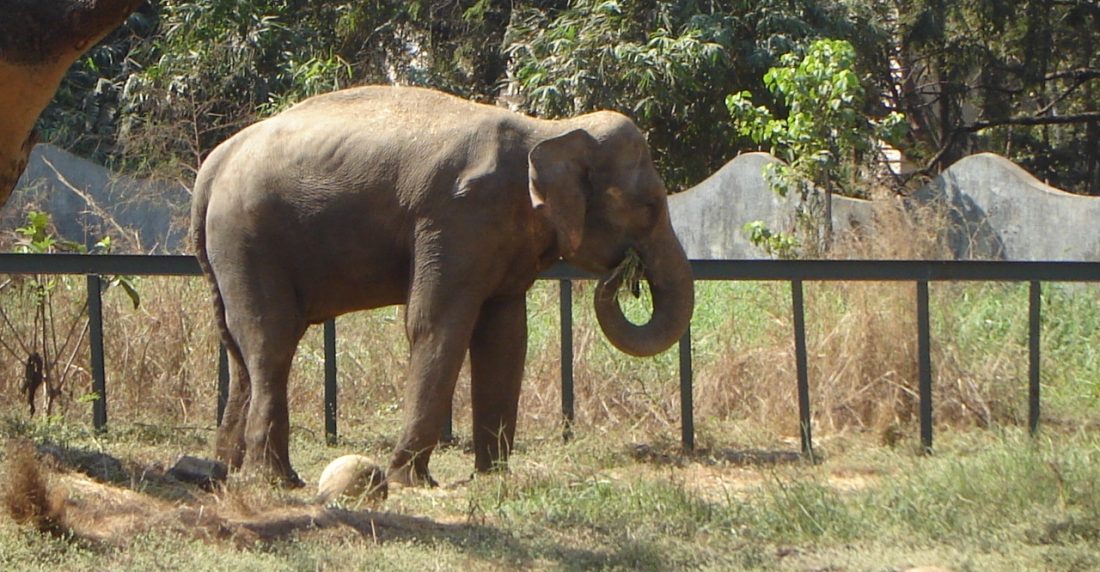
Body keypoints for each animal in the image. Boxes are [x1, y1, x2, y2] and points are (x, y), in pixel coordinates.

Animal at [190, 86, 694, 487]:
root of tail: (212, 167)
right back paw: (278, 480)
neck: (548, 130)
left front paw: (492, 478)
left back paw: (225, 472)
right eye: (650, 206)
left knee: (238, 350)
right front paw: (411, 481)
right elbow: (437, 326)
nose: (625, 272)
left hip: (229, 252)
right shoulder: (456, 218)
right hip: (247, 238)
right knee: (271, 341)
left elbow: (505, 338)